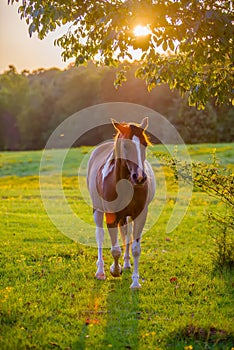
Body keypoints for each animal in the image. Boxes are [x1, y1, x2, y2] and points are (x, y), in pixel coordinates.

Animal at [87, 116, 154, 288]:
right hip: (98, 210)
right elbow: (114, 249)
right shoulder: (111, 215)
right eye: (125, 145)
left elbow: (136, 248)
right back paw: (100, 271)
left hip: (126, 216)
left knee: (126, 234)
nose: (140, 177)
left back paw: (127, 264)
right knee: (100, 236)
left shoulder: (140, 215)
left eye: (144, 144)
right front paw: (114, 270)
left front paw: (135, 282)